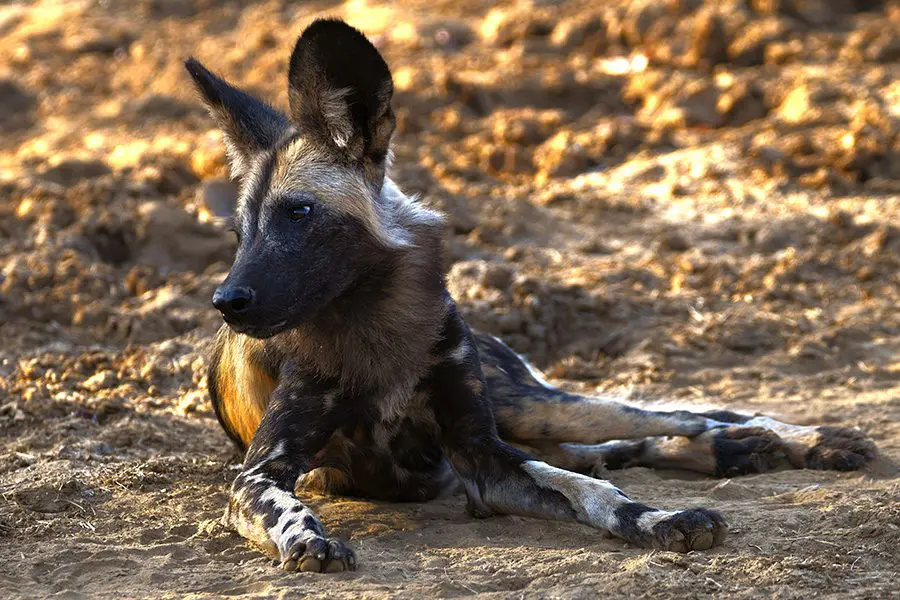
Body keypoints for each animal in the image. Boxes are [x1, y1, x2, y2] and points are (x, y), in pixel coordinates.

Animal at [185, 18, 880, 572]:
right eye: (241, 233)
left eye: (298, 214)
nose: (227, 301)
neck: (381, 327)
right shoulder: (259, 475)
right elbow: (283, 505)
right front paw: (306, 538)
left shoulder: (484, 454)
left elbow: (594, 492)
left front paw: (659, 520)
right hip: (534, 414)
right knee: (620, 446)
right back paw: (738, 453)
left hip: (533, 404)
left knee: (683, 416)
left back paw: (798, 441)